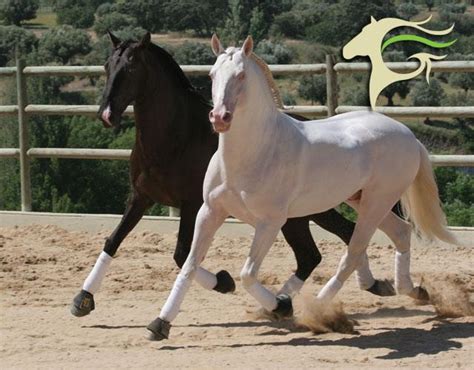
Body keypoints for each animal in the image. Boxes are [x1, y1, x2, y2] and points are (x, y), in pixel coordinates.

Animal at [71, 33, 396, 318]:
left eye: (131, 67)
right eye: (107, 66)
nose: (106, 114)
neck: (176, 138)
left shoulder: (191, 205)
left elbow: (181, 255)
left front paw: (223, 282)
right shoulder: (140, 198)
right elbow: (113, 240)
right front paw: (83, 300)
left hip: (306, 213)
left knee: (331, 243)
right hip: (302, 216)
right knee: (323, 247)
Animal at [147, 35, 460, 342]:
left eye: (241, 75)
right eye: (212, 74)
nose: (220, 118)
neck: (255, 153)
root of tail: (409, 136)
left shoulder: (270, 222)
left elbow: (247, 274)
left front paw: (281, 306)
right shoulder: (210, 212)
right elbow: (189, 264)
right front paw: (160, 324)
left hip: (377, 202)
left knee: (352, 253)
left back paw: (318, 308)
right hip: (362, 199)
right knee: (400, 233)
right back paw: (413, 290)